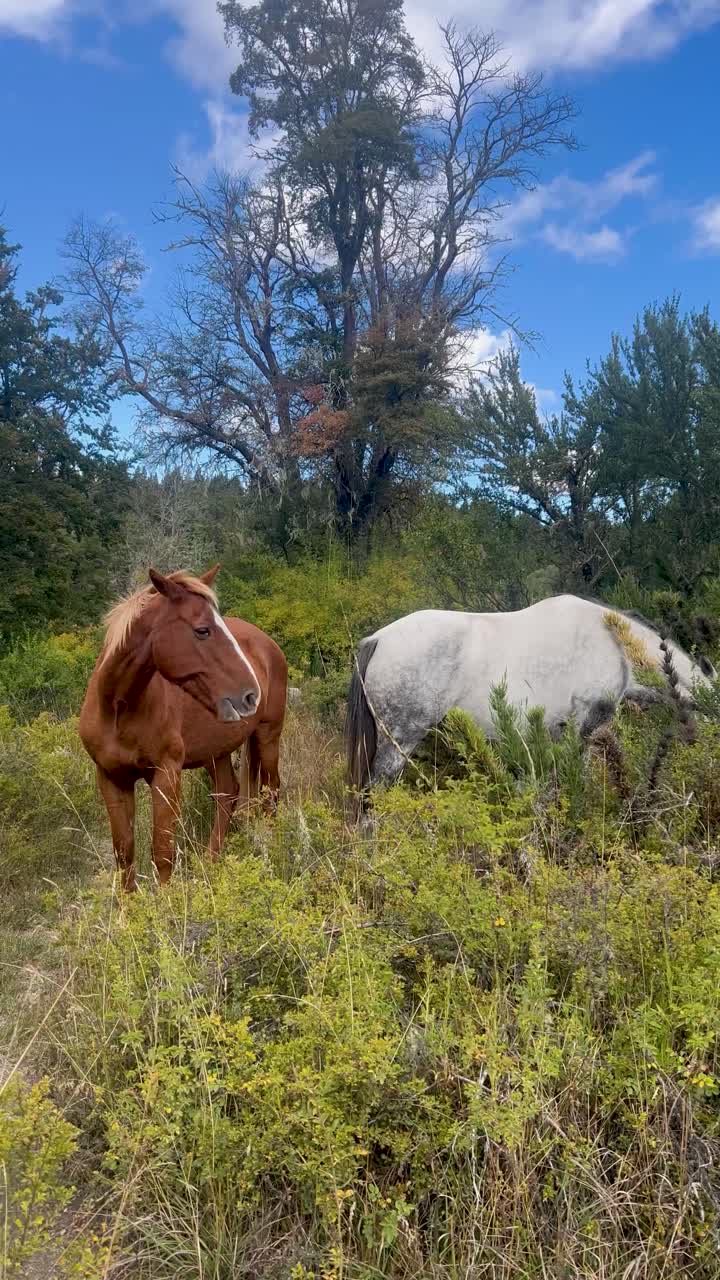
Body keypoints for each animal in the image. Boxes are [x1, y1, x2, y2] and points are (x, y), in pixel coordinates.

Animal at [79, 566, 287, 891]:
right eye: (202, 630)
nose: (250, 695)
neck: (117, 709)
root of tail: (268, 644)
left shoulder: (166, 774)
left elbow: (163, 852)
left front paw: (167, 902)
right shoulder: (111, 778)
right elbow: (124, 854)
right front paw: (127, 905)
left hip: (268, 736)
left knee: (271, 791)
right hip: (216, 752)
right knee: (228, 793)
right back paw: (211, 864)